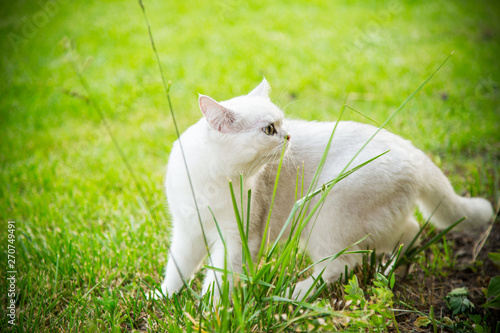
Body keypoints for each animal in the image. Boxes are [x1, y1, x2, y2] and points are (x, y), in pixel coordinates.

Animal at [155, 79, 492, 300]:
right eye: (269, 129)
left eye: (282, 123)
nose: (288, 136)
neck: (212, 182)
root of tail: (412, 150)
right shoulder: (187, 232)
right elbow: (177, 268)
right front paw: (164, 297)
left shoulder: (236, 239)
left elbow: (219, 278)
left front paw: (210, 309)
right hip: (373, 223)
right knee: (410, 231)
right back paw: (391, 269)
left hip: (327, 220)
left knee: (339, 266)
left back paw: (296, 293)